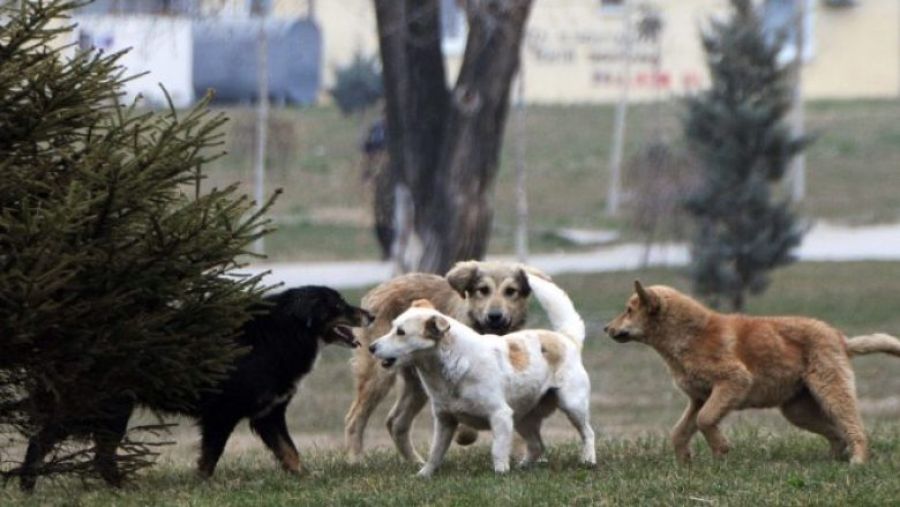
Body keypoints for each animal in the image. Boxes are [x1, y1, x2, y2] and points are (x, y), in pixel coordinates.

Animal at [21, 288, 372, 490]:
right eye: (339, 304)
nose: (369, 313)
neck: (279, 333)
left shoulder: (267, 415)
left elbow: (290, 452)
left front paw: (305, 478)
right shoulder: (222, 414)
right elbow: (211, 456)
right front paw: (202, 485)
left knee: (93, 454)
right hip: (103, 408)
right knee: (52, 443)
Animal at [344, 262, 536, 464]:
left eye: (510, 291)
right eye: (483, 290)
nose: (495, 316)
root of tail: (378, 290)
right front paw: (465, 434)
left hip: (417, 385)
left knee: (395, 422)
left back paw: (415, 461)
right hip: (378, 377)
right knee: (354, 418)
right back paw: (356, 460)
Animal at [370, 274, 596, 476]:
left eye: (401, 332)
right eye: (392, 327)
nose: (372, 347)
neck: (453, 365)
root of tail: (566, 338)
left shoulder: (500, 416)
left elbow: (497, 450)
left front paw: (500, 473)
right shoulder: (444, 421)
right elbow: (435, 453)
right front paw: (423, 475)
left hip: (572, 405)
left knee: (588, 433)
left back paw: (588, 460)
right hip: (523, 419)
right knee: (537, 446)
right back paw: (523, 467)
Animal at [604, 284, 900, 466]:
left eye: (629, 310)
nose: (606, 328)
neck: (688, 336)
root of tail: (841, 339)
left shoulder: (734, 381)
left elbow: (705, 420)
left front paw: (720, 450)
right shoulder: (699, 398)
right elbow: (680, 431)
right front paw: (685, 461)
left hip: (830, 390)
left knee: (854, 427)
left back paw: (858, 459)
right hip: (797, 410)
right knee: (837, 432)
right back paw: (834, 459)